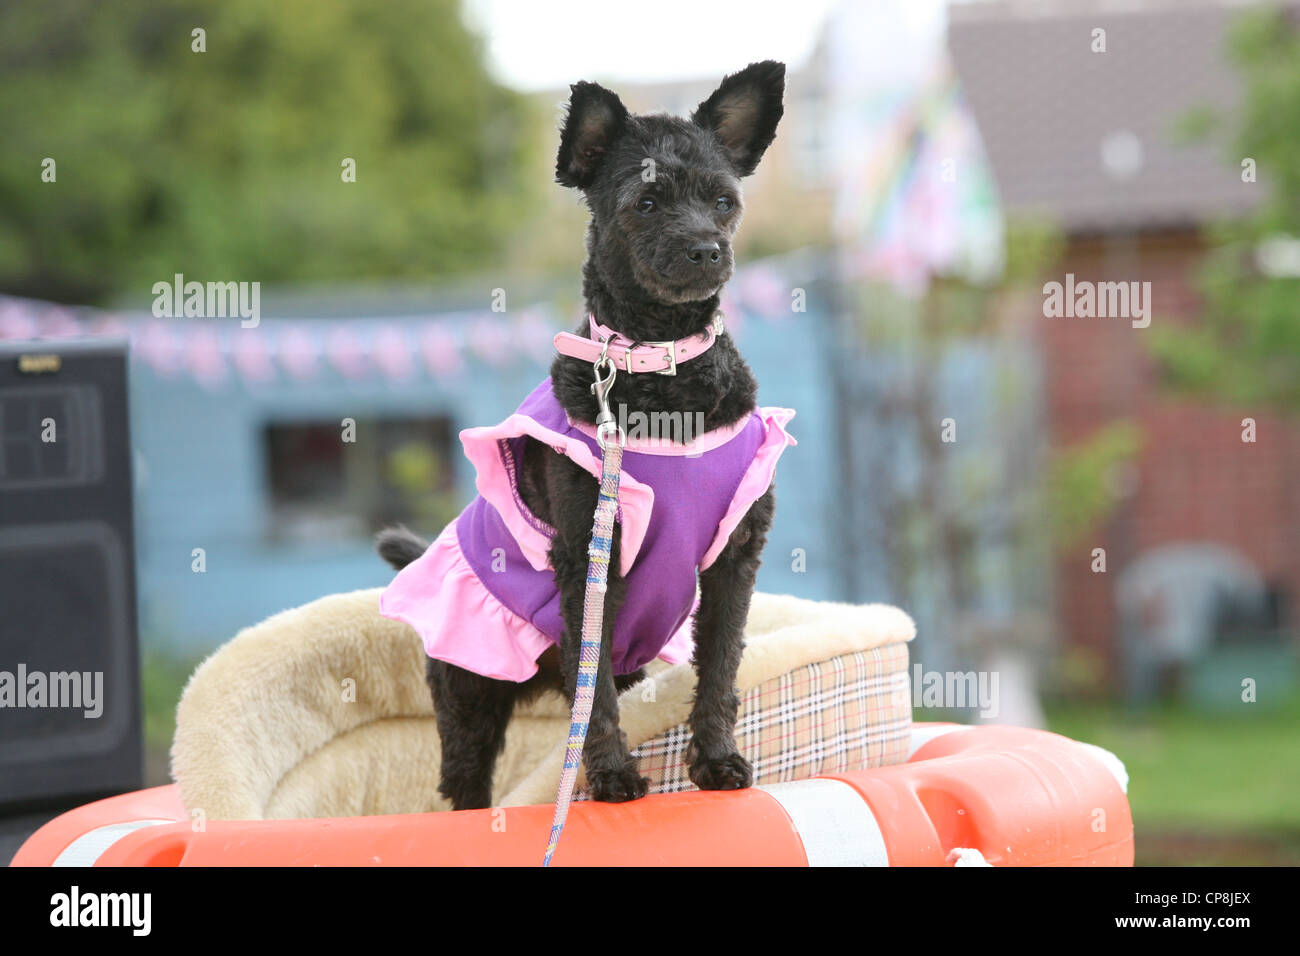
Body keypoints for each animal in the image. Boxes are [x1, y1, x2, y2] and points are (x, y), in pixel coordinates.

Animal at [377, 59, 780, 811]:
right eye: (645, 204)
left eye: (723, 200)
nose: (706, 249)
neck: (662, 376)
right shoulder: (588, 562)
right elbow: (593, 702)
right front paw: (613, 776)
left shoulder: (734, 557)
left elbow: (719, 667)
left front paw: (715, 761)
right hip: (470, 694)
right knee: (467, 781)